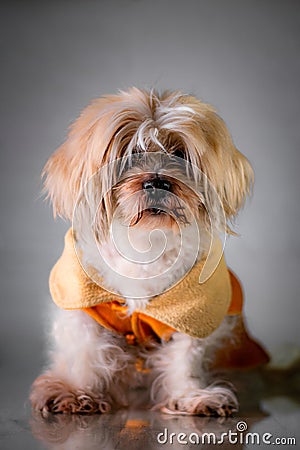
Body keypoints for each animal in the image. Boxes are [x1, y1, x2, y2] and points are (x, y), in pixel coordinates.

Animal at [29, 89, 268, 418]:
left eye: (180, 155)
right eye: (131, 155)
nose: (157, 181)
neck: (146, 242)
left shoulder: (194, 308)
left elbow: (185, 356)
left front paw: (190, 396)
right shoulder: (83, 299)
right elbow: (85, 351)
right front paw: (77, 392)